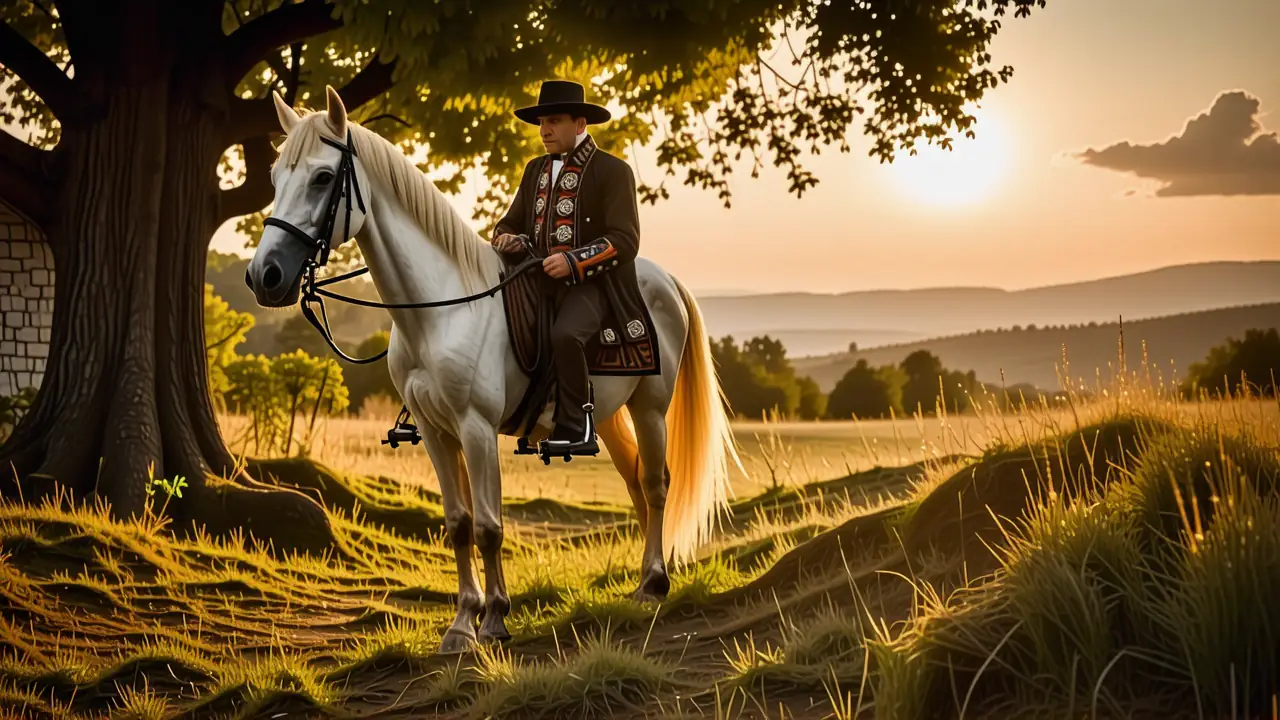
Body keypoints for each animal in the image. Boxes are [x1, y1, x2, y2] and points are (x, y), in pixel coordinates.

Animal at [244, 86, 743, 652]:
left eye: (323, 177)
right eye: (276, 178)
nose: (265, 276)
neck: (441, 310)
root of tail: (664, 279)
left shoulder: (476, 428)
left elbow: (489, 526)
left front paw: (495, 619)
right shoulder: (437, 432)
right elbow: (459, 523)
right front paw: (462, 622)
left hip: (651, 407)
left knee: (657, 483)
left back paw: (656, 584)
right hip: (610, 415)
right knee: (637, 482)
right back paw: (640, 580)